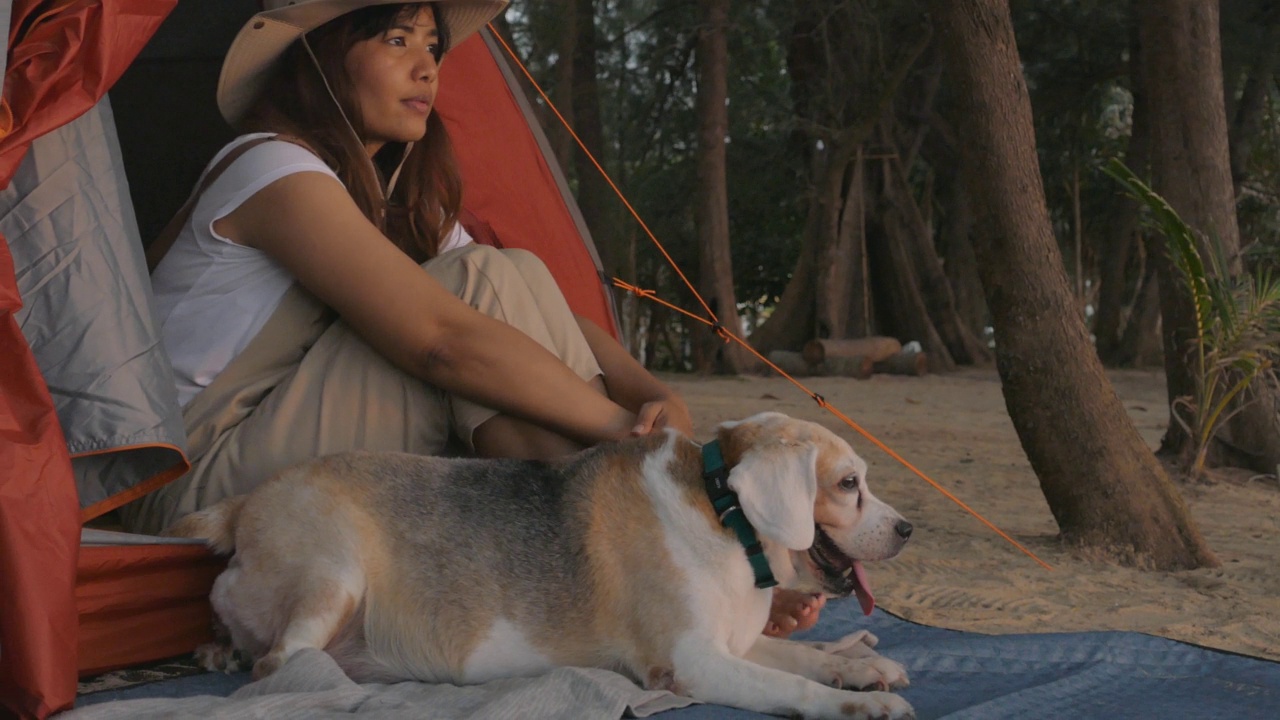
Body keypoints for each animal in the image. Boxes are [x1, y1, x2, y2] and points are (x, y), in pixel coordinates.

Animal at [167, 412, 911, 712]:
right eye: (849, 484)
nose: (907, 529)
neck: (725, 513)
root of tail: (242, 503)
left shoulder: (733, 643)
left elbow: (805, 658)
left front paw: (860, 668)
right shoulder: (693, 663)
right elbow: (793, 685)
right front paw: (860, 705)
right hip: (335, 575)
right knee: (280, 667)